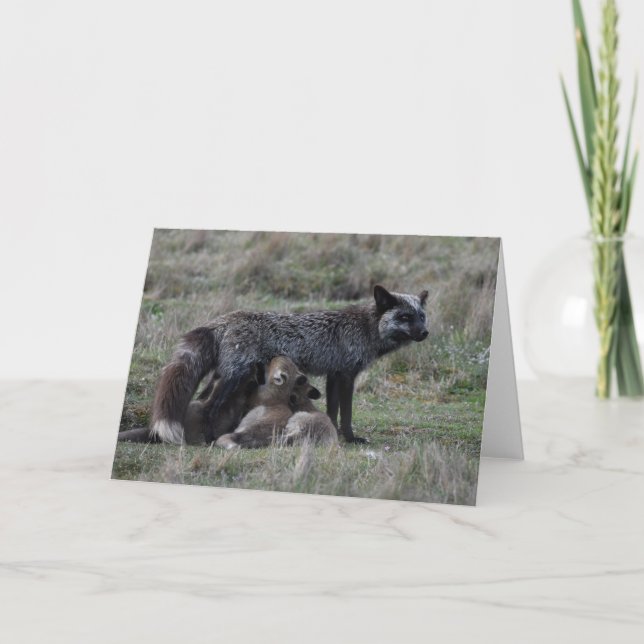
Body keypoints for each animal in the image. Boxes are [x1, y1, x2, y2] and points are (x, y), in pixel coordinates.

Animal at [151, 284, 429, 445]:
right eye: (405, 317)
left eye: (422, 316)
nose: (425, 333)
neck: (365, 327)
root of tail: (227, 318)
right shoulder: (347, 376)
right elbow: (347, 413)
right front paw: (350, 438)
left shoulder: (334, 376)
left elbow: (333, 411)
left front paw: (334, 433)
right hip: (233, 377)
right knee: (209, 408)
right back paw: (210, 438)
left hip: (223, 377)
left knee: (201, 400)